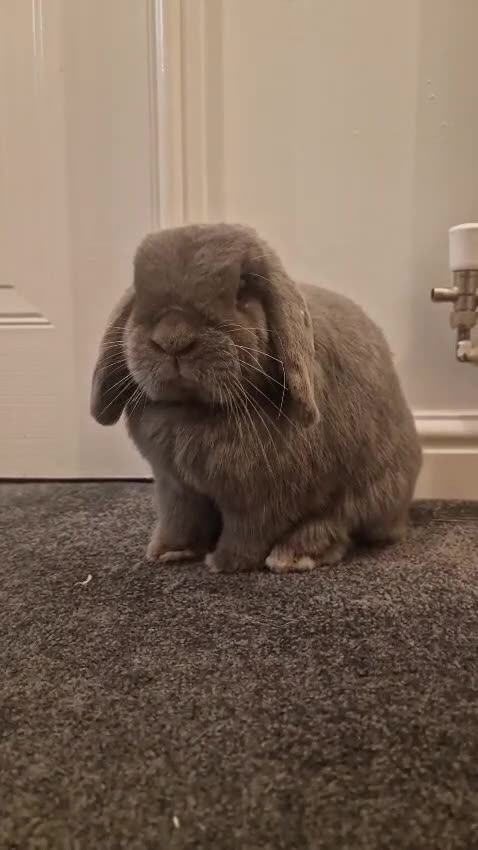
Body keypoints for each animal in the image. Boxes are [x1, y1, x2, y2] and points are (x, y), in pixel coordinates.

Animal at [91, 223, 422, 573]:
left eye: (242, 290)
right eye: (140, 291)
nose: (173, 339)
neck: (196, 409)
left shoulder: (261, 496)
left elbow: (249, 531)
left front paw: (224, 562)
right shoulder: (176, 487)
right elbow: (179, 519)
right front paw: (169, 551)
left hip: (369, 490)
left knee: (336, 525)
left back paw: (290, 556)